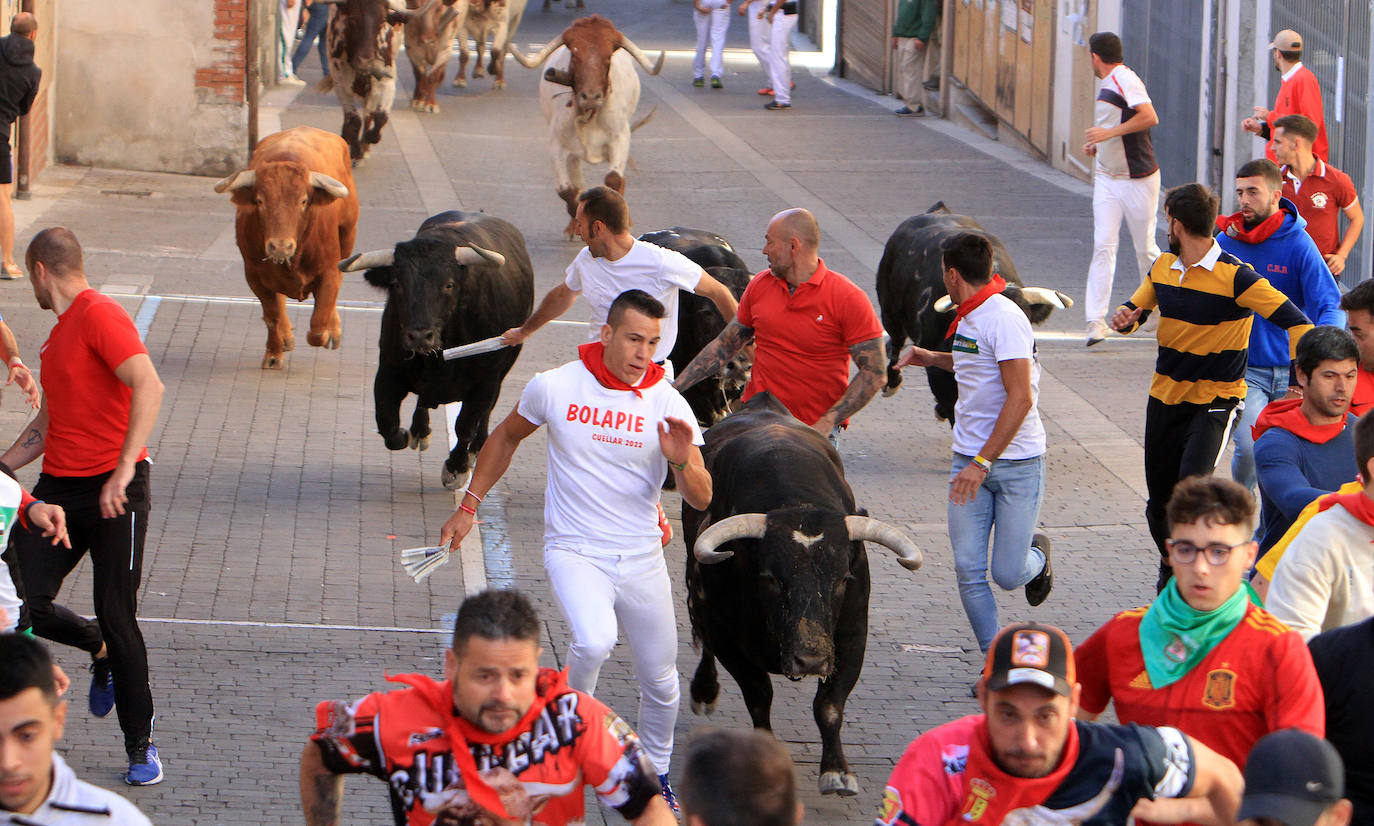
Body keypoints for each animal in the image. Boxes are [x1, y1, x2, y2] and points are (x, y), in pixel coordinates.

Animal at [210, 127, 357, 368]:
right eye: (260, 201)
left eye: (303, 201)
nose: (280, 246)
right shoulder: (255, 277)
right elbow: (273, 317)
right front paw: (274, 353)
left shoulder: (329, 271)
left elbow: (318, 324)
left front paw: (326, 332)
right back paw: (286, 337)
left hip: (348, 237)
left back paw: (333, 331)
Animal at [340, 208, 533, 489]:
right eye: (397, 284)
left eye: (449, 284)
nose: (419, 335)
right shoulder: (387, 370)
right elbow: (387, 424)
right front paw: (405, 434)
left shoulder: (485, 382)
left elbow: (466, 425)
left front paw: (457, 468)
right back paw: (420, 431)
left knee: (484, 415)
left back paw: (477, 448)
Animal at [678, 395, 923, 797]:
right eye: (770, 579)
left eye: (842, 579)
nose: (810, 660)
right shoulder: (726, 635)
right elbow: (758, 695)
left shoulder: (852, 635)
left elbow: (829, 705)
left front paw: (837, 772)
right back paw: (704, 690)